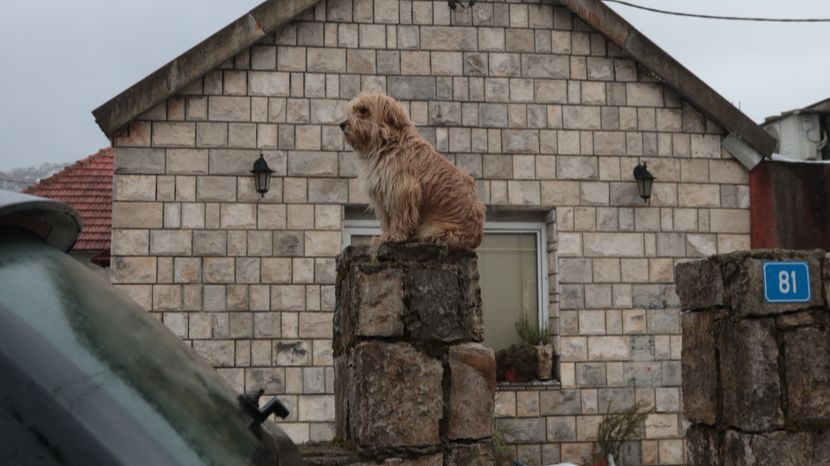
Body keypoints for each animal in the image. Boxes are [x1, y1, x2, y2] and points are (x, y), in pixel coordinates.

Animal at [342, 92, 488, 249]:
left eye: (363, 110)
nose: (342, 124)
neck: (387, 142)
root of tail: (476, 237)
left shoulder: (402, 190)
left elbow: (400, 216)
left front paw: (394, 235)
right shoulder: (382, 193)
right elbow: (387, 219)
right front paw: (384, 235)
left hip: (436, 228)